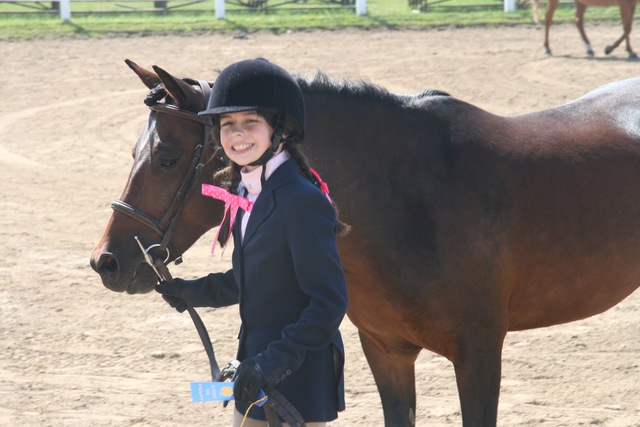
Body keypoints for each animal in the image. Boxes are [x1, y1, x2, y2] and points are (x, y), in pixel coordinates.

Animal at [90, 61, 640, 426]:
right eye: (135, 151)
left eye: (166, 158)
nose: (107, 261)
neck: (414, 198)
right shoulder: (386, 351)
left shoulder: (480, 353)